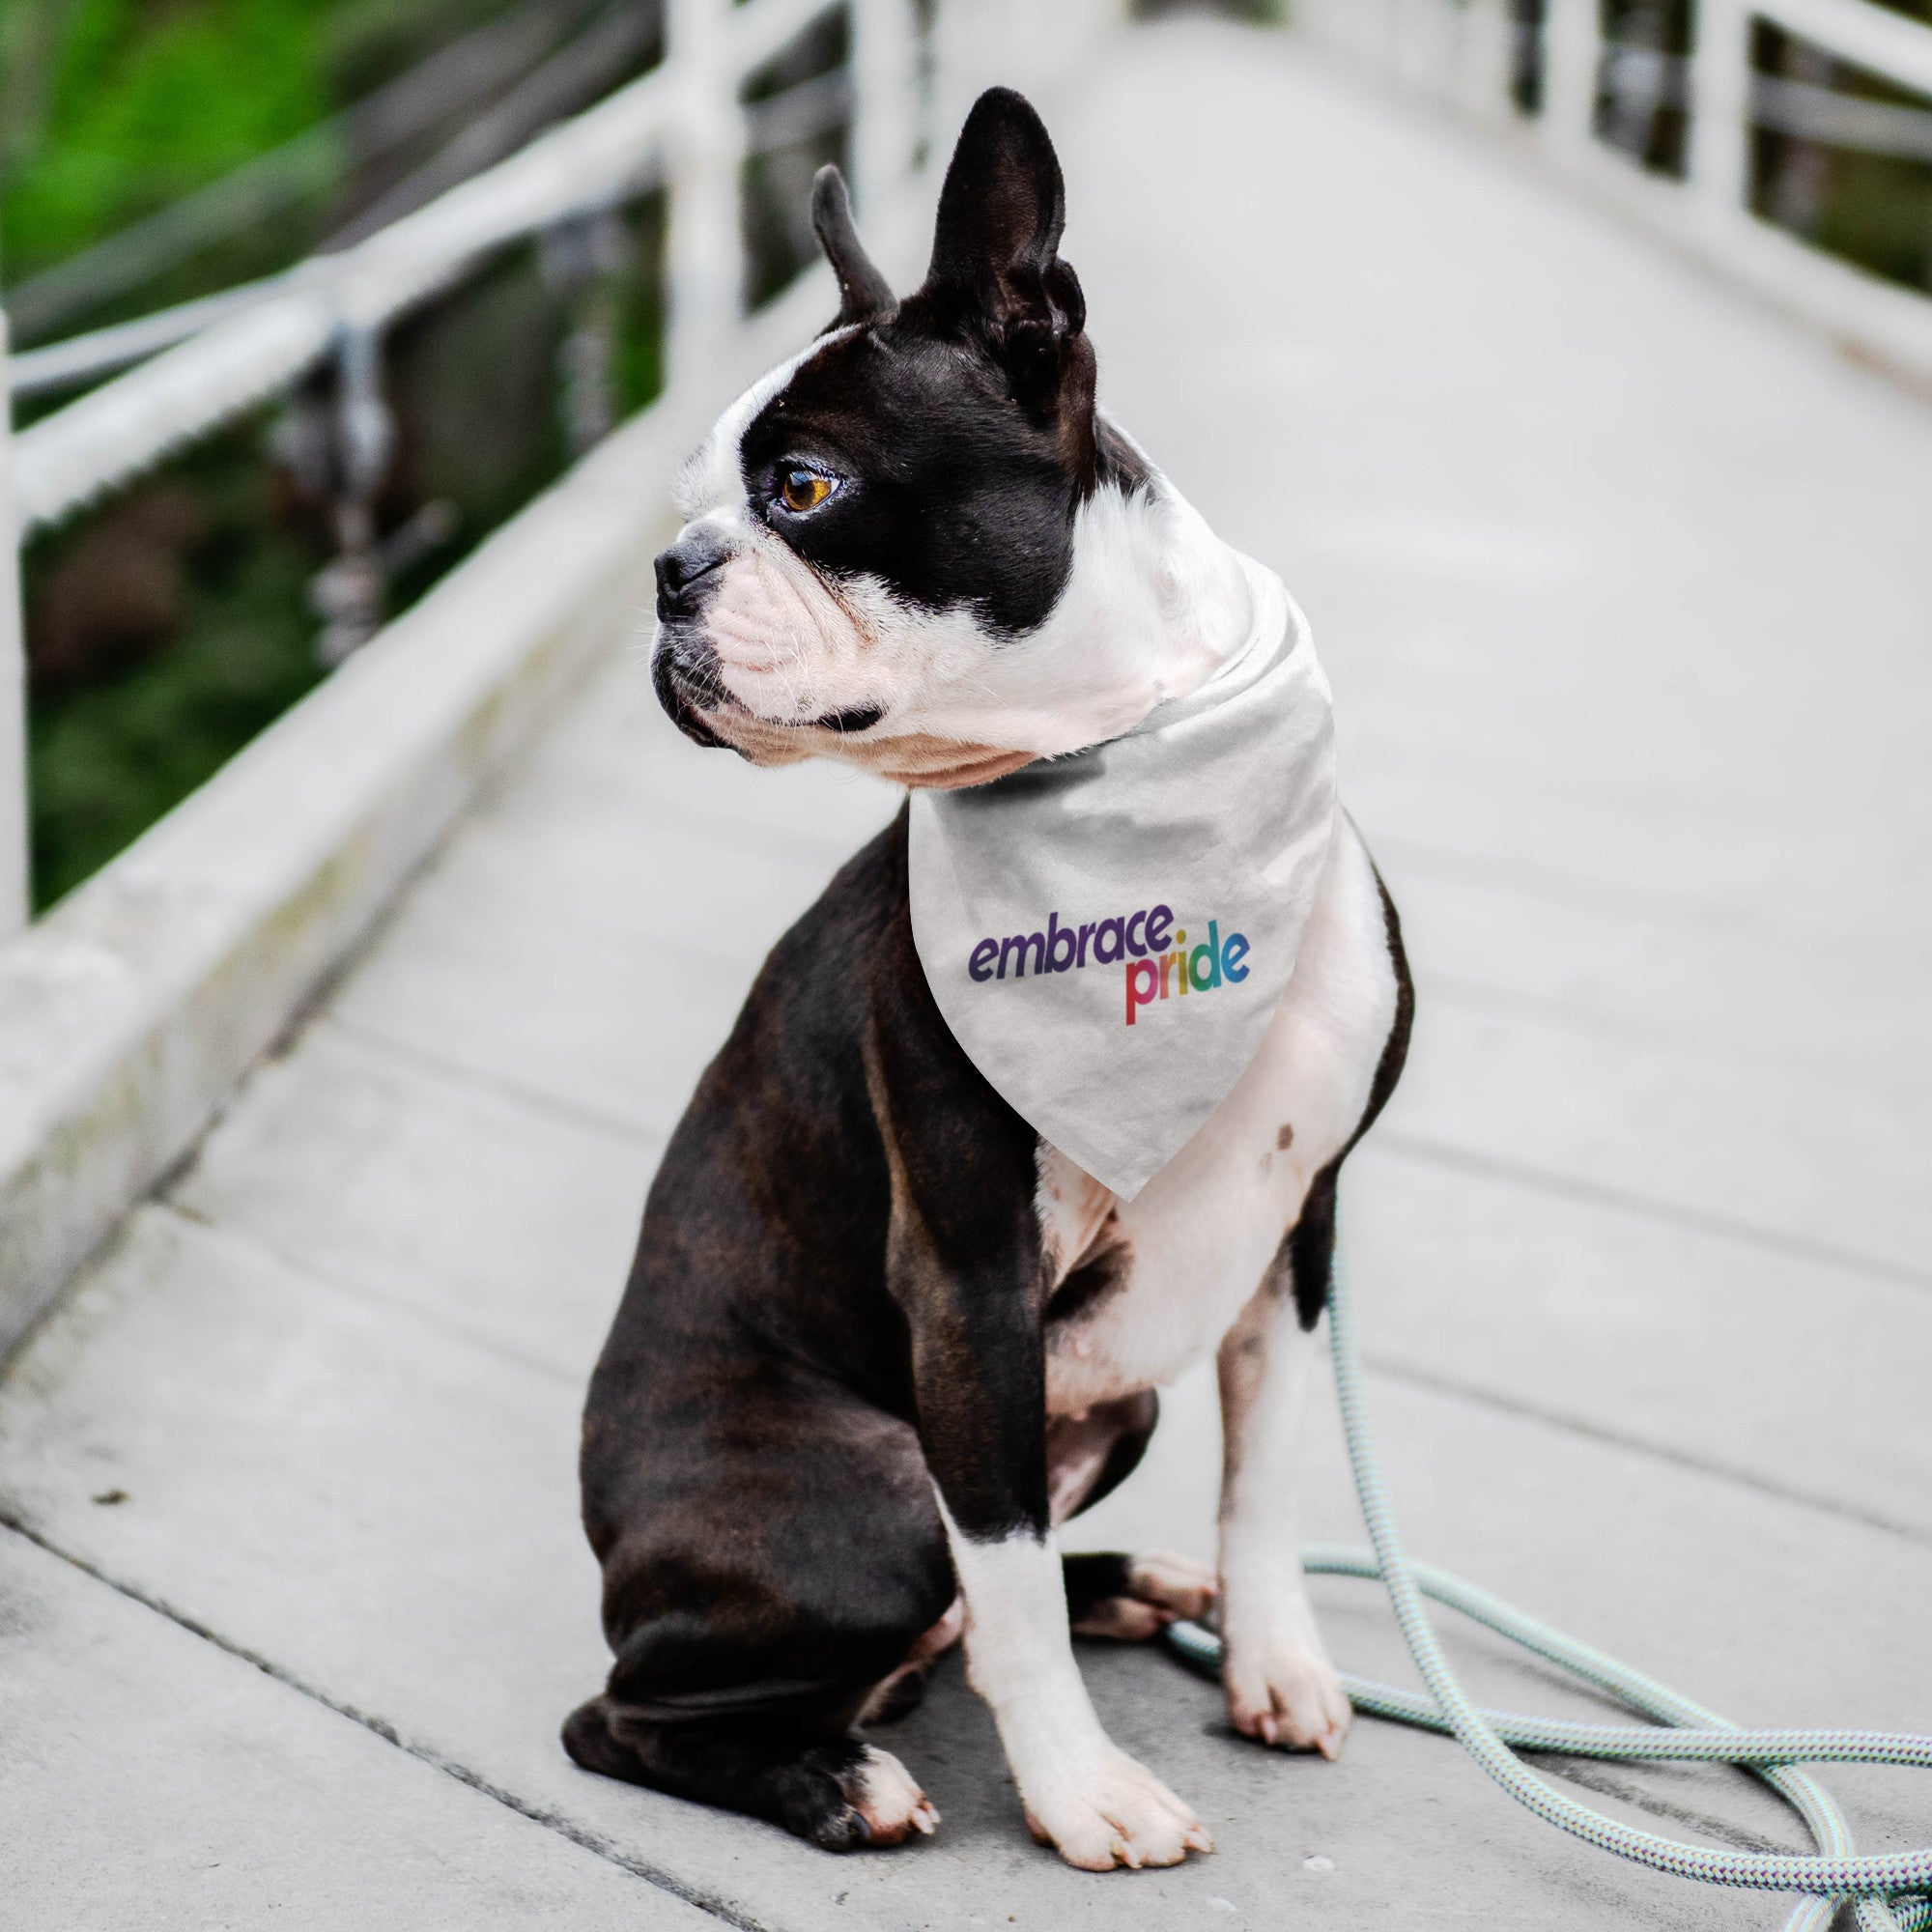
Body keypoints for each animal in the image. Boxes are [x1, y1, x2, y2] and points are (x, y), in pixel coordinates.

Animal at [564, 87, 1414, 1870]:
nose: (670, 570)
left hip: (1114, 1407)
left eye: (802, 487)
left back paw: (1136, 1587)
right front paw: (1083, 1792)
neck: (1130, 758)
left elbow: (1267, 1478)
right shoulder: (968, 1279)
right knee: (641, 1709)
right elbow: (1004, 1571)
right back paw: (837, 1777)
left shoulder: (1297, 1237)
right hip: (875, 1495)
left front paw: (1274, 1658)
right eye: (698, 499)